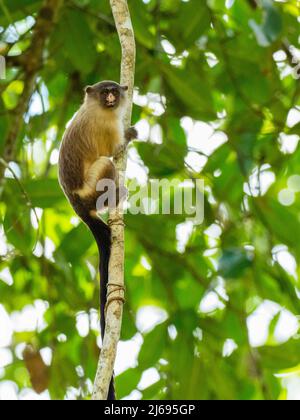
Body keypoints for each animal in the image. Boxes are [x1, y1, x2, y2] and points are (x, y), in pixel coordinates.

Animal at [57, 81, 137, 400]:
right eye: (105, 92)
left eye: (114, 90)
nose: (113, 97)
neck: (97, 108)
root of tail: (79, 207)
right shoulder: (107, 127)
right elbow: (114, 148)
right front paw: (131, 135)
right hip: (94, 188)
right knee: (106, 164)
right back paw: (117, 196)